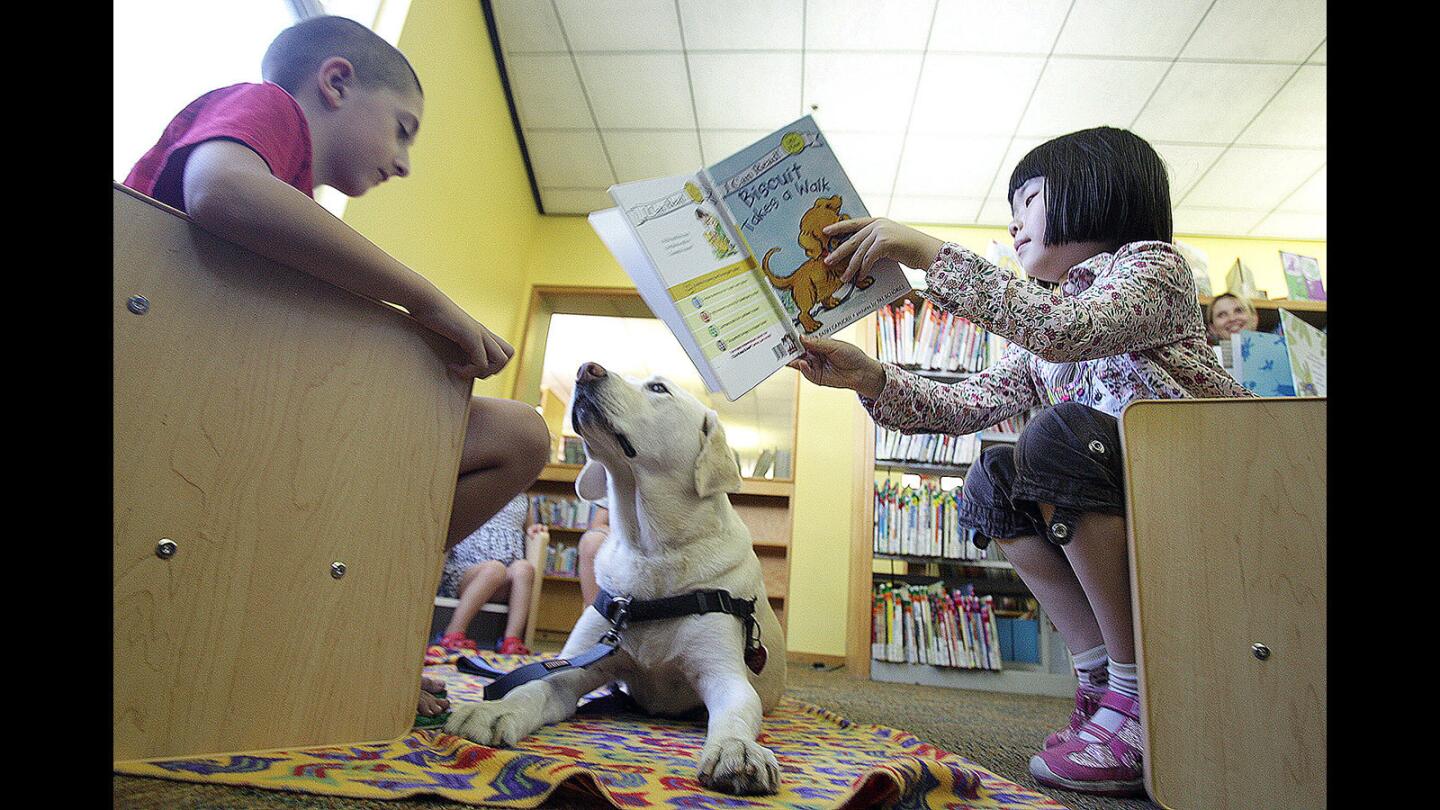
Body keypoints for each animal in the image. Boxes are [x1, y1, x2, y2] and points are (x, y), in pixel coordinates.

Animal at [446, 363, 789, 789]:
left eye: (658, 388)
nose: (585, 369)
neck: (651, 548)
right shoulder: (577, 666)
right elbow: (534, 686)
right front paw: (493, 710)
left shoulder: (726, 676)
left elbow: (736, 713)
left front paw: (736, 750)